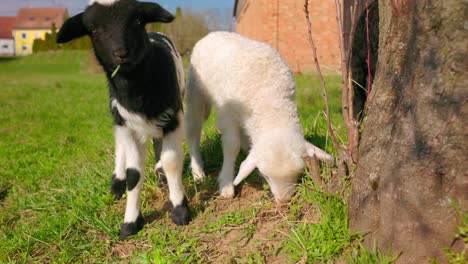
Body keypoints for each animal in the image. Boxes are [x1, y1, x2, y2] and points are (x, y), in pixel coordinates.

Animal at [55, 0, 191, 238]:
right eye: (93, 30)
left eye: (137, 20)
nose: (121, 53)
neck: (137, 91)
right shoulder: (127, 125)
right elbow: (133, 174)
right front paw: (130, 222)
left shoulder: (173, 117)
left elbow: (171, 161)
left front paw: (179, 209)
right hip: (118, 119)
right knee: (121, 146)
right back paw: (117, 183)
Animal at [184, 32, 332, 203]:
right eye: (266, 176)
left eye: (298, 173)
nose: (283, 201)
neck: (269, 100)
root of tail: (212, 34)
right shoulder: (227, 114)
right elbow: (231, 146)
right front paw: (227, 184)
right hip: (195, 92)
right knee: (193, 133)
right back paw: (198, 172)